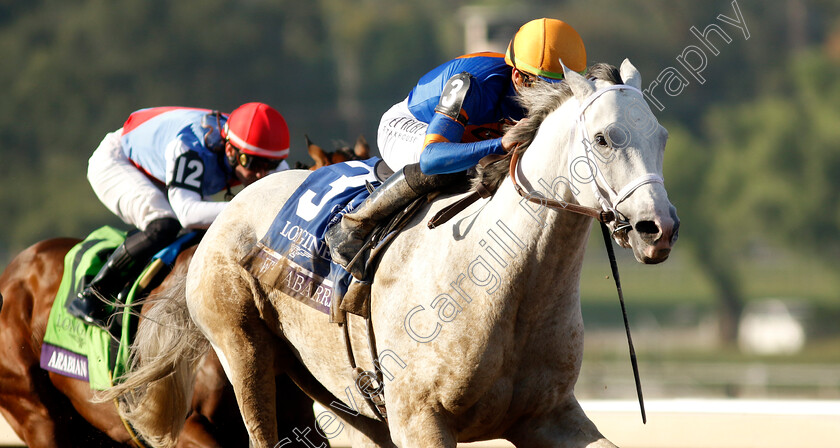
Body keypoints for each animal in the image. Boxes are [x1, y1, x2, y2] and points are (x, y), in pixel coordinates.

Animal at [108, 59, 680, 448]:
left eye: (662, 136)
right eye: (602, 138)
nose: (659, 228)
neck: (507, 285)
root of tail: (228, 211)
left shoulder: (549, 417)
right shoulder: (420, 421)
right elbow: (431, 158)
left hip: (340, 397)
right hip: (242, 349)